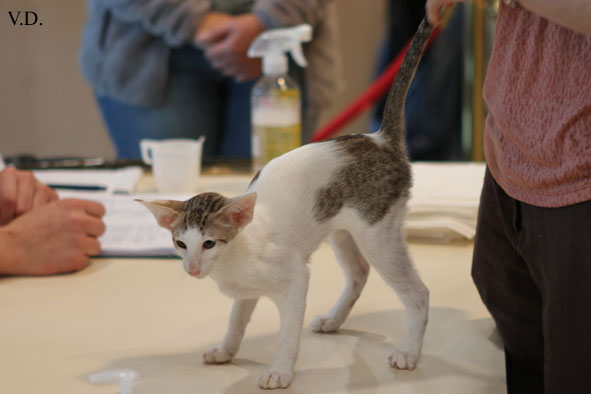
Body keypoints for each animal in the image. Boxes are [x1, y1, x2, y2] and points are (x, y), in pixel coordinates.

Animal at [139, 16, 434, 390]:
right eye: (180, 244)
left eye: (208, 243)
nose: (191, 269)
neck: (234, 259)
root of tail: (380, 139)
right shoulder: (245, 293)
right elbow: (236, 321)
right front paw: (226, 350)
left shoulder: (295, 281)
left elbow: (288, 335)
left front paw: (280, 371)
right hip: (340, 230)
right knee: (358, 273)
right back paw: (334, 319)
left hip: (378, 234)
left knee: (417, 292)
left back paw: (409, 351)